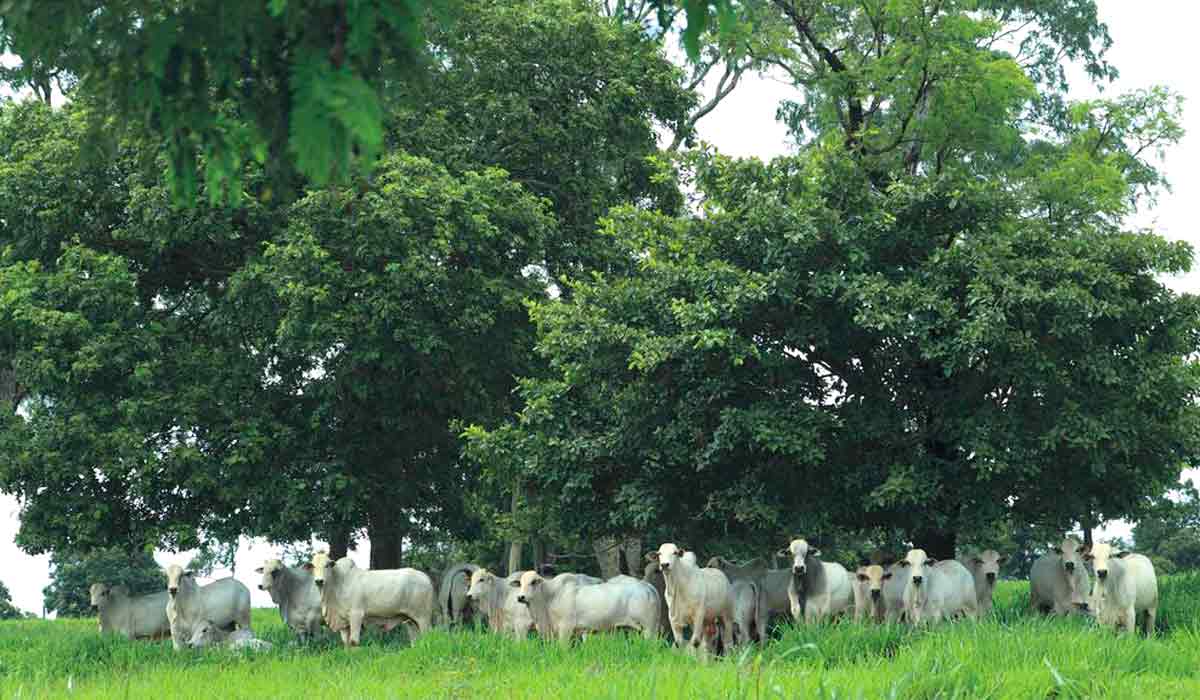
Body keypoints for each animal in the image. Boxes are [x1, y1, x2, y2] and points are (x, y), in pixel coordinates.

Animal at [513, 569, 662, 648]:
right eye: (520, 583)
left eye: (533, 582)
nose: (521, 597)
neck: (550, 596)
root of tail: (648, 587)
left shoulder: (566, 628)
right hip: (634, 629)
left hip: (649, 629)